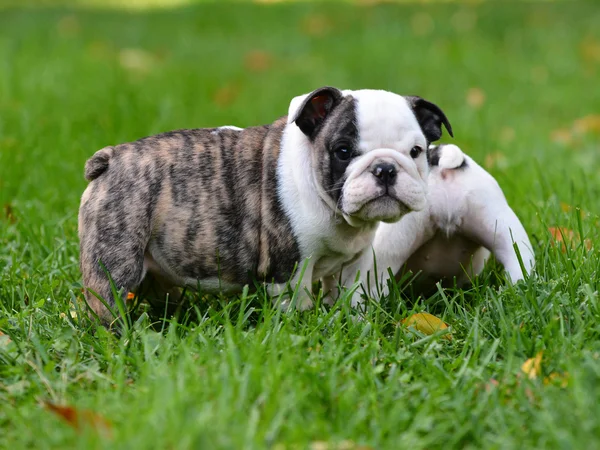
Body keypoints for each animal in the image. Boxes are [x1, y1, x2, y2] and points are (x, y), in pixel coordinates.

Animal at [79, 86, 452, 324]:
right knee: (107, 301)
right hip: (115, 260)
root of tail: (111, 157)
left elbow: (353, 297)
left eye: (416, 152)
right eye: (343, 151)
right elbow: (296, 304)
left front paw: (353, 323)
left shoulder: (354, 264)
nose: (385, 168)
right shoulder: (289, 271)